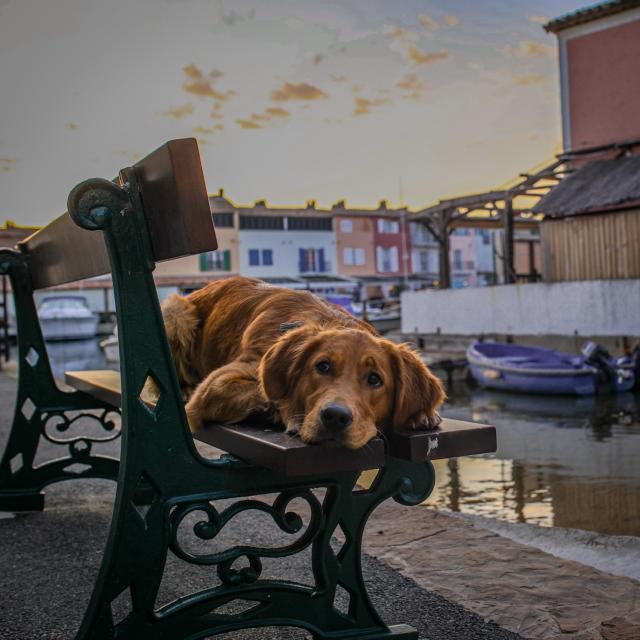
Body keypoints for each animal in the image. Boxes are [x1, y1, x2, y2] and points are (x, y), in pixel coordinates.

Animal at [162, 276, 442, 450]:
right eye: (323, 366)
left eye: (375, 379)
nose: (335, 417)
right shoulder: (216, 384)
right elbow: (267, 392)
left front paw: (421, 413)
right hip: (176, 311)